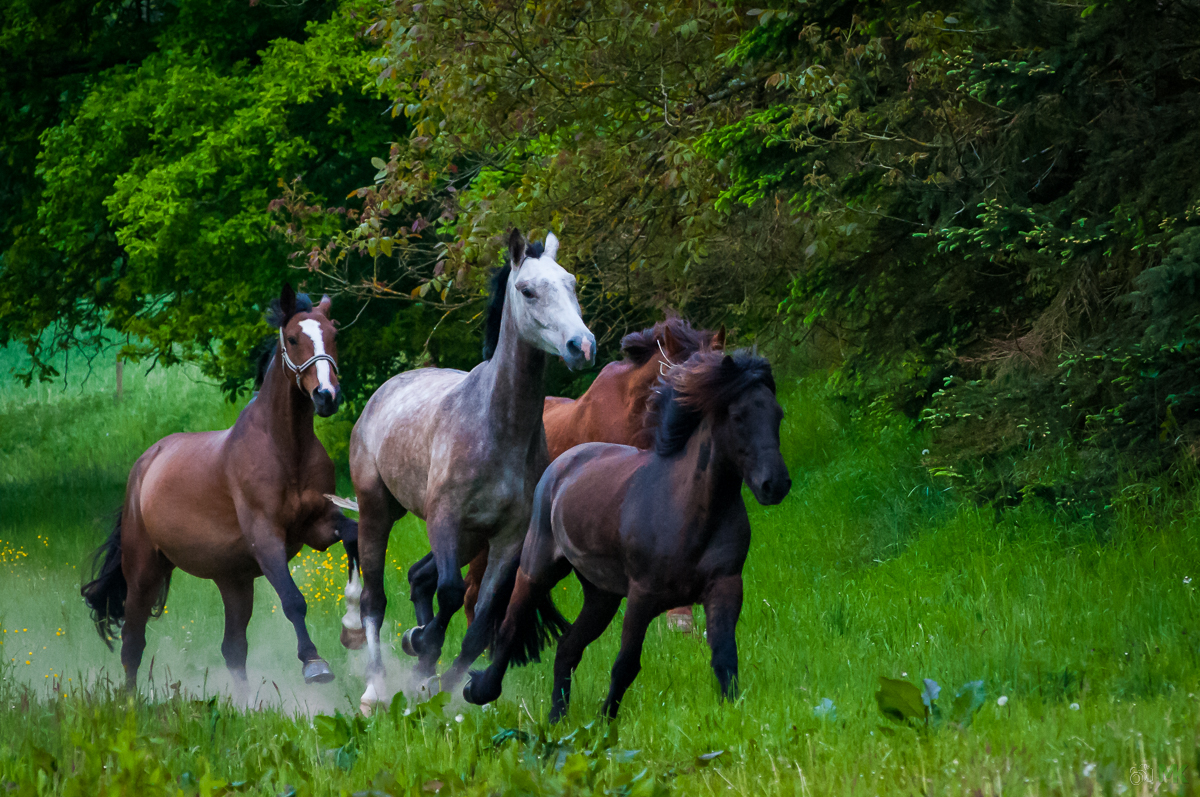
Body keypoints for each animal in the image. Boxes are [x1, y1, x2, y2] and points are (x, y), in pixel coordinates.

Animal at [82, 286, 357, 691]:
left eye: (334, 335)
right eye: (293, 339)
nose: (326, 396)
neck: (285, 447)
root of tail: (145, 464)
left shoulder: (318, 526)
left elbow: (352, 535)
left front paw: (356, 622)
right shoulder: (265, 537)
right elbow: (293, 600)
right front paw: (314, 663)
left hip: (234, 581)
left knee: (233, 649)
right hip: (144, 569)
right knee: (132, 644)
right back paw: (129, 703)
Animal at [348, 229, 595, 710]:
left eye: (573, 284)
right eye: (528, 290)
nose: (582, 346)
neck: (497, 427)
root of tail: (385, 391)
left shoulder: (506, 538)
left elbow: (481, 621)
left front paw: (441, 684)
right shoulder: (444, 518)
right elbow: (450, 592)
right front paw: (423, 653)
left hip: (469, 539)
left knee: (419, 577)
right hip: (378, 512)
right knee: (375, 599)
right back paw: (374, 689)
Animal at [463, 352, 792, 720]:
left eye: (777, 414)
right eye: (738, 416)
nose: (775, 484)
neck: (691, 512)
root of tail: (561, 464)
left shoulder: (725, 586)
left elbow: (725, 656)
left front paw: (731, 713)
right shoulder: (642, 595)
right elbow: (626, 665)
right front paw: (606, 721)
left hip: (601, 597)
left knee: (567, 648)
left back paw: (556, 717)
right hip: (538, 571)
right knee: (509, 630)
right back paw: (480, 691)